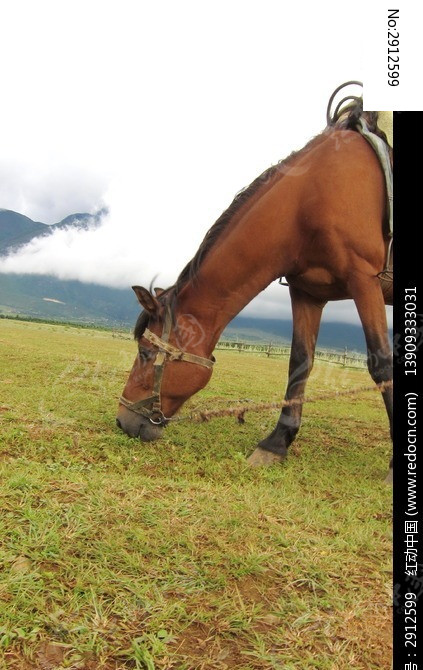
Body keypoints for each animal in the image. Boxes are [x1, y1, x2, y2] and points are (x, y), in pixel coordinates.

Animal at [117, 101, 394, 478]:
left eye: (146, 353)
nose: (122, 420)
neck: (310, 197)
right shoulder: (308, 293)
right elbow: (299, 363)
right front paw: (276, 443)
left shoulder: (363, 279)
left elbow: (382, 363)